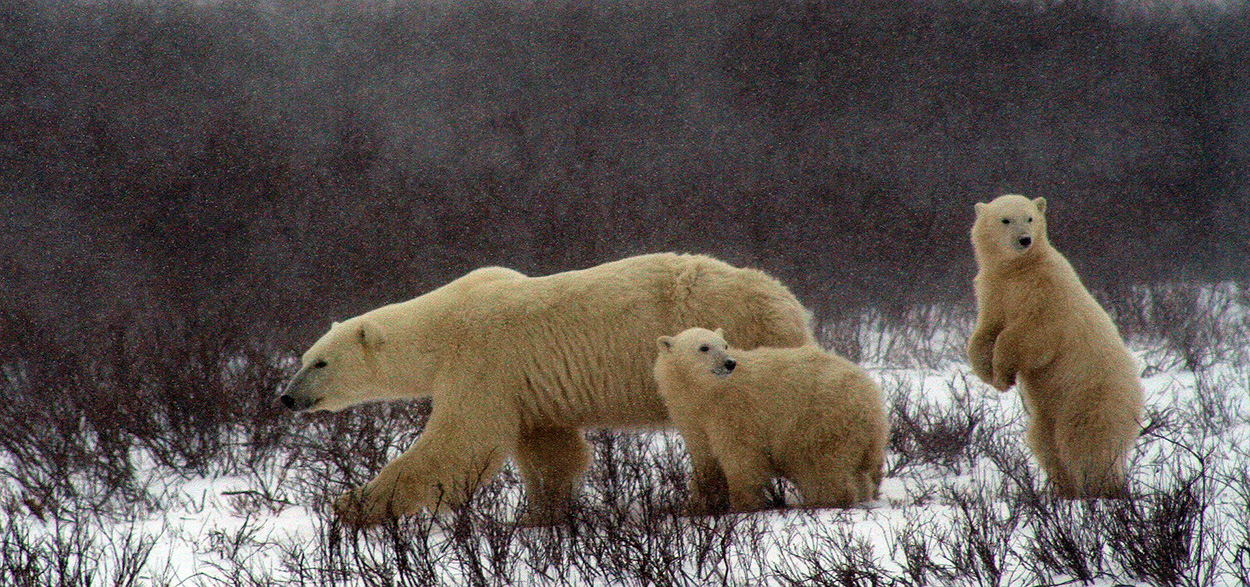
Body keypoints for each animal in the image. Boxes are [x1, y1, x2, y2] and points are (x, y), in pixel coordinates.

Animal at [279, 253, 814, 526]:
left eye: (320, 361)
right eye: (303, 358)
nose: (286, 397)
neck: (442, 323)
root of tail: (787, 302)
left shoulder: (483, 357)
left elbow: (460, 443)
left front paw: (352, 506)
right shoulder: (527, 385)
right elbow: (549, 450)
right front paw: (540, 514)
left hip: (728, 345)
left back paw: (697, 504)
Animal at [653, 327, 888, 513]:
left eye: (725, 345)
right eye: (704, 347)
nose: (729, 363)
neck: (707, 393)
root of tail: (874, 398)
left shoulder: (735, 411)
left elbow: (741, 456)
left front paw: (742, 505)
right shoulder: (692, 417)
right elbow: (705, 457)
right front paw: (696, 505)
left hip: (821, 420)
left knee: (820, 466)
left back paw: (821, 501)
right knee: (856, 471)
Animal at [967, 194, 1144, 499]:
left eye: (1030, 217)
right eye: (1005, 219)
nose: (1024, 240)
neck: (1018, 270)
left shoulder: (1047, 291)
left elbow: (1029, 334)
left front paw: (1003, 374)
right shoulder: (994, 290)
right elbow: (985, 331)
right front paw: (988, 374)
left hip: (1090, 395)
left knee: (1086, 441)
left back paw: (1101, 489)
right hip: (1047, 412)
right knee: (1044, 442)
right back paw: (1061, 490)